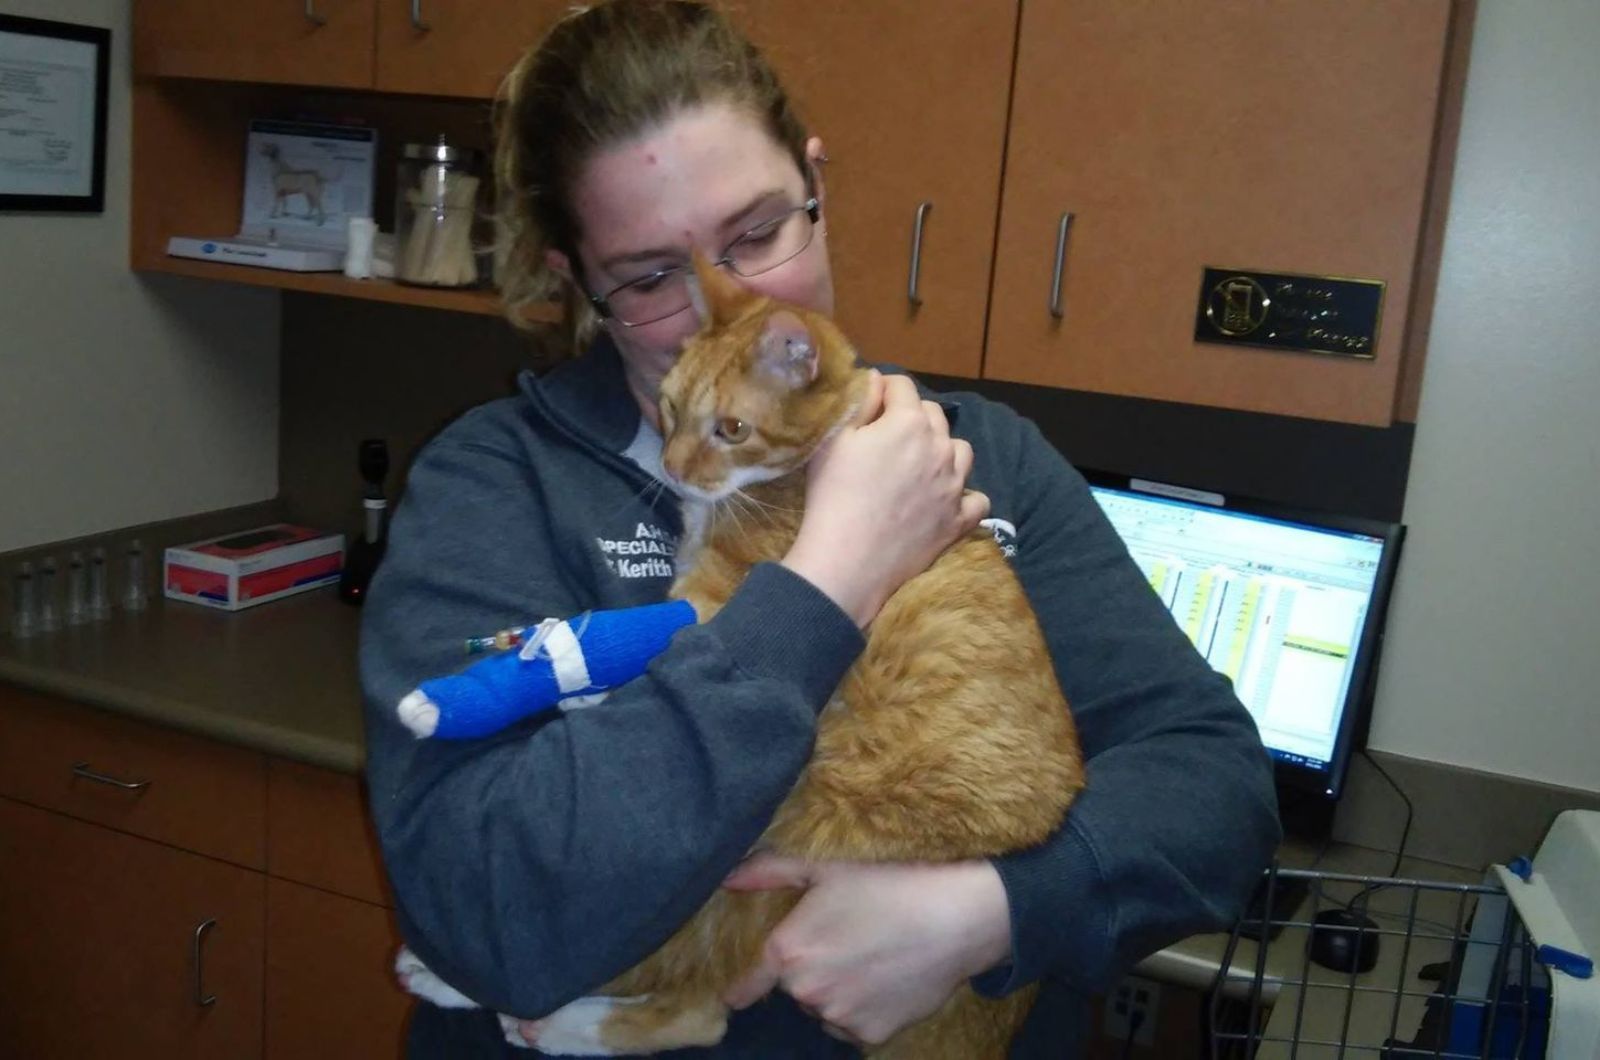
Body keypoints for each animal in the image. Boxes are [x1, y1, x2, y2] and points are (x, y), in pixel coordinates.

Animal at [524, 259, 1088, 1060]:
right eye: (668, 407)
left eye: (731, 429)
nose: (674, 470)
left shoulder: (717, 595)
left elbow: (659, 640)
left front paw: (572, 675)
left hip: (781, 829)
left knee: (697, 1003)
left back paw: (530, 1013)